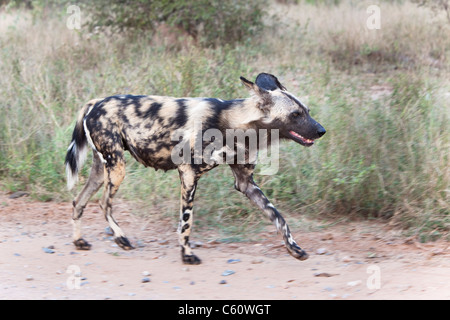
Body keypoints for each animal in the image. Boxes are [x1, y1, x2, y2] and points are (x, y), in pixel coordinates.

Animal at [65, 74, 326, 264]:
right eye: (296, 114)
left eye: (307, 111)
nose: (322, 130)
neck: (236, 125)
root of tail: (96, 102)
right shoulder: (189, 173)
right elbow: (186, 222)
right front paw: (187, 254)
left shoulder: (245, 183)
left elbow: (279, 217)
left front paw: (294, 248)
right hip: (117, 169)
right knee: (103, 203)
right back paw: (121, 238)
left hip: (103, 170)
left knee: (78, 201)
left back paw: (79, 241)